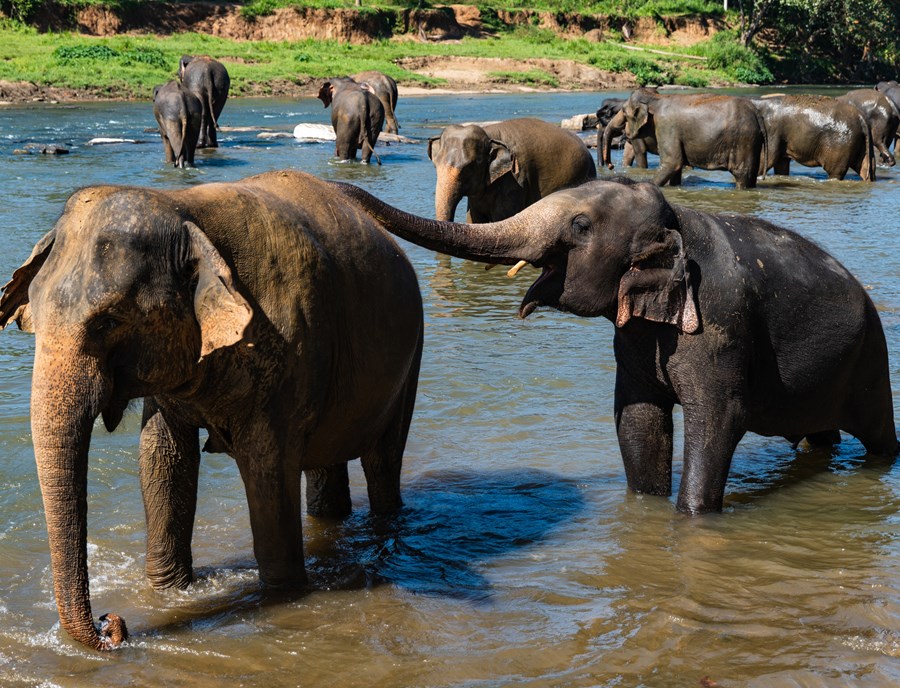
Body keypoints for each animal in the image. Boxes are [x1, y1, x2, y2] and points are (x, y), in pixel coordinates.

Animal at [0, 169, 424, 650]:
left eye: (109, 321)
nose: (113, 623)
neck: (184, 210)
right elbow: (162, 459)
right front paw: (169, 592)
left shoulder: (289, 349)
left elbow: (267, 468)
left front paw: (283, 596)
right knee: (325, 464)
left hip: (409, 357)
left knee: (382, 463)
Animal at [335, 177, 898, 516]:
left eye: (581, 226)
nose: (340, 187)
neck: (676, 219)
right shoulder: (634, 339)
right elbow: (638, 419)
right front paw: (644, 509)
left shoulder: (720, 323)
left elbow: (717, 420)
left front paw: (691, 519)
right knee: (819, 436)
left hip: (871, 359)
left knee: (878, 435)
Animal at [621, 88, 766, 189]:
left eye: (624, 113)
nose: (626, 133)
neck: (656, 99)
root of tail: (756, 112)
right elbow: (676, 167)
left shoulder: (666, 126)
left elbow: (672, 163)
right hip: (753, 140)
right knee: (751, 174)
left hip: (743, 139)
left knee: (742, 174)